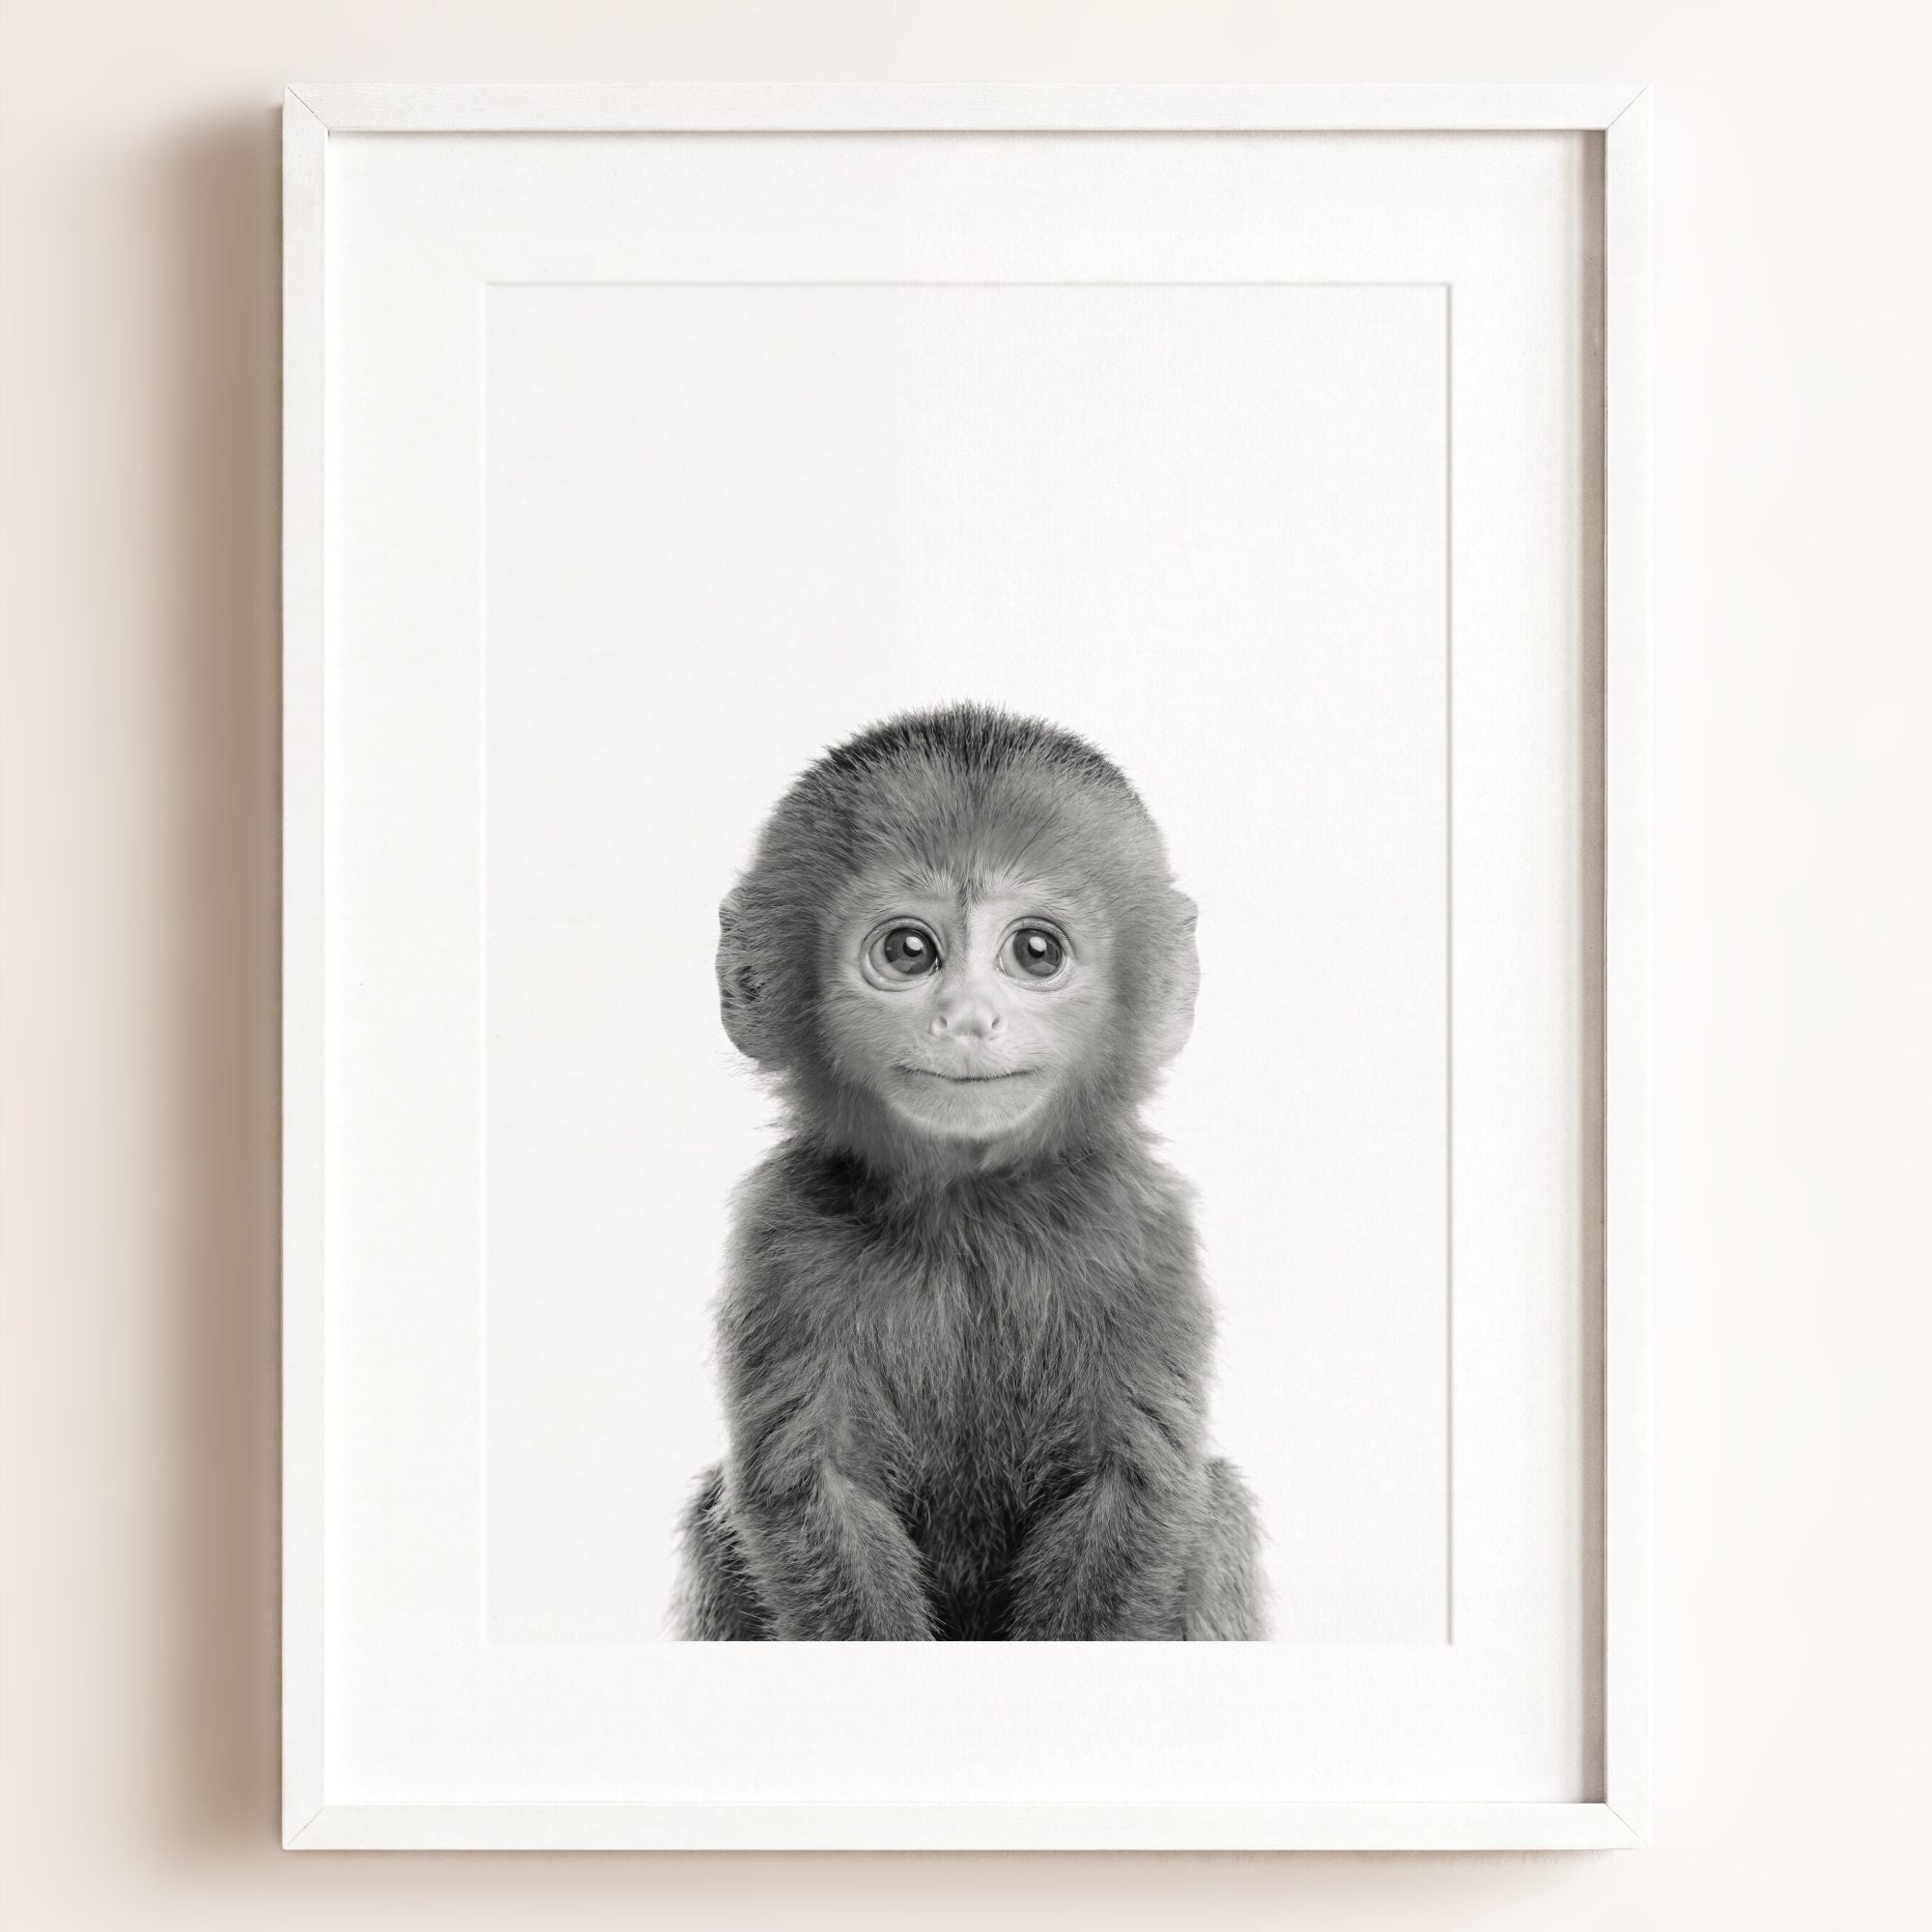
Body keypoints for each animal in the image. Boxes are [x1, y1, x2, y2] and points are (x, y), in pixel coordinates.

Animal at [673, 703, 1265, 1641]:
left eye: (1036, 951)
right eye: (910, 951)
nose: (968, 1018)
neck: (970, 1212)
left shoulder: (1142, 1227)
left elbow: (1132, 1484)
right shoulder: (781, 1233)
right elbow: (814, 1488)